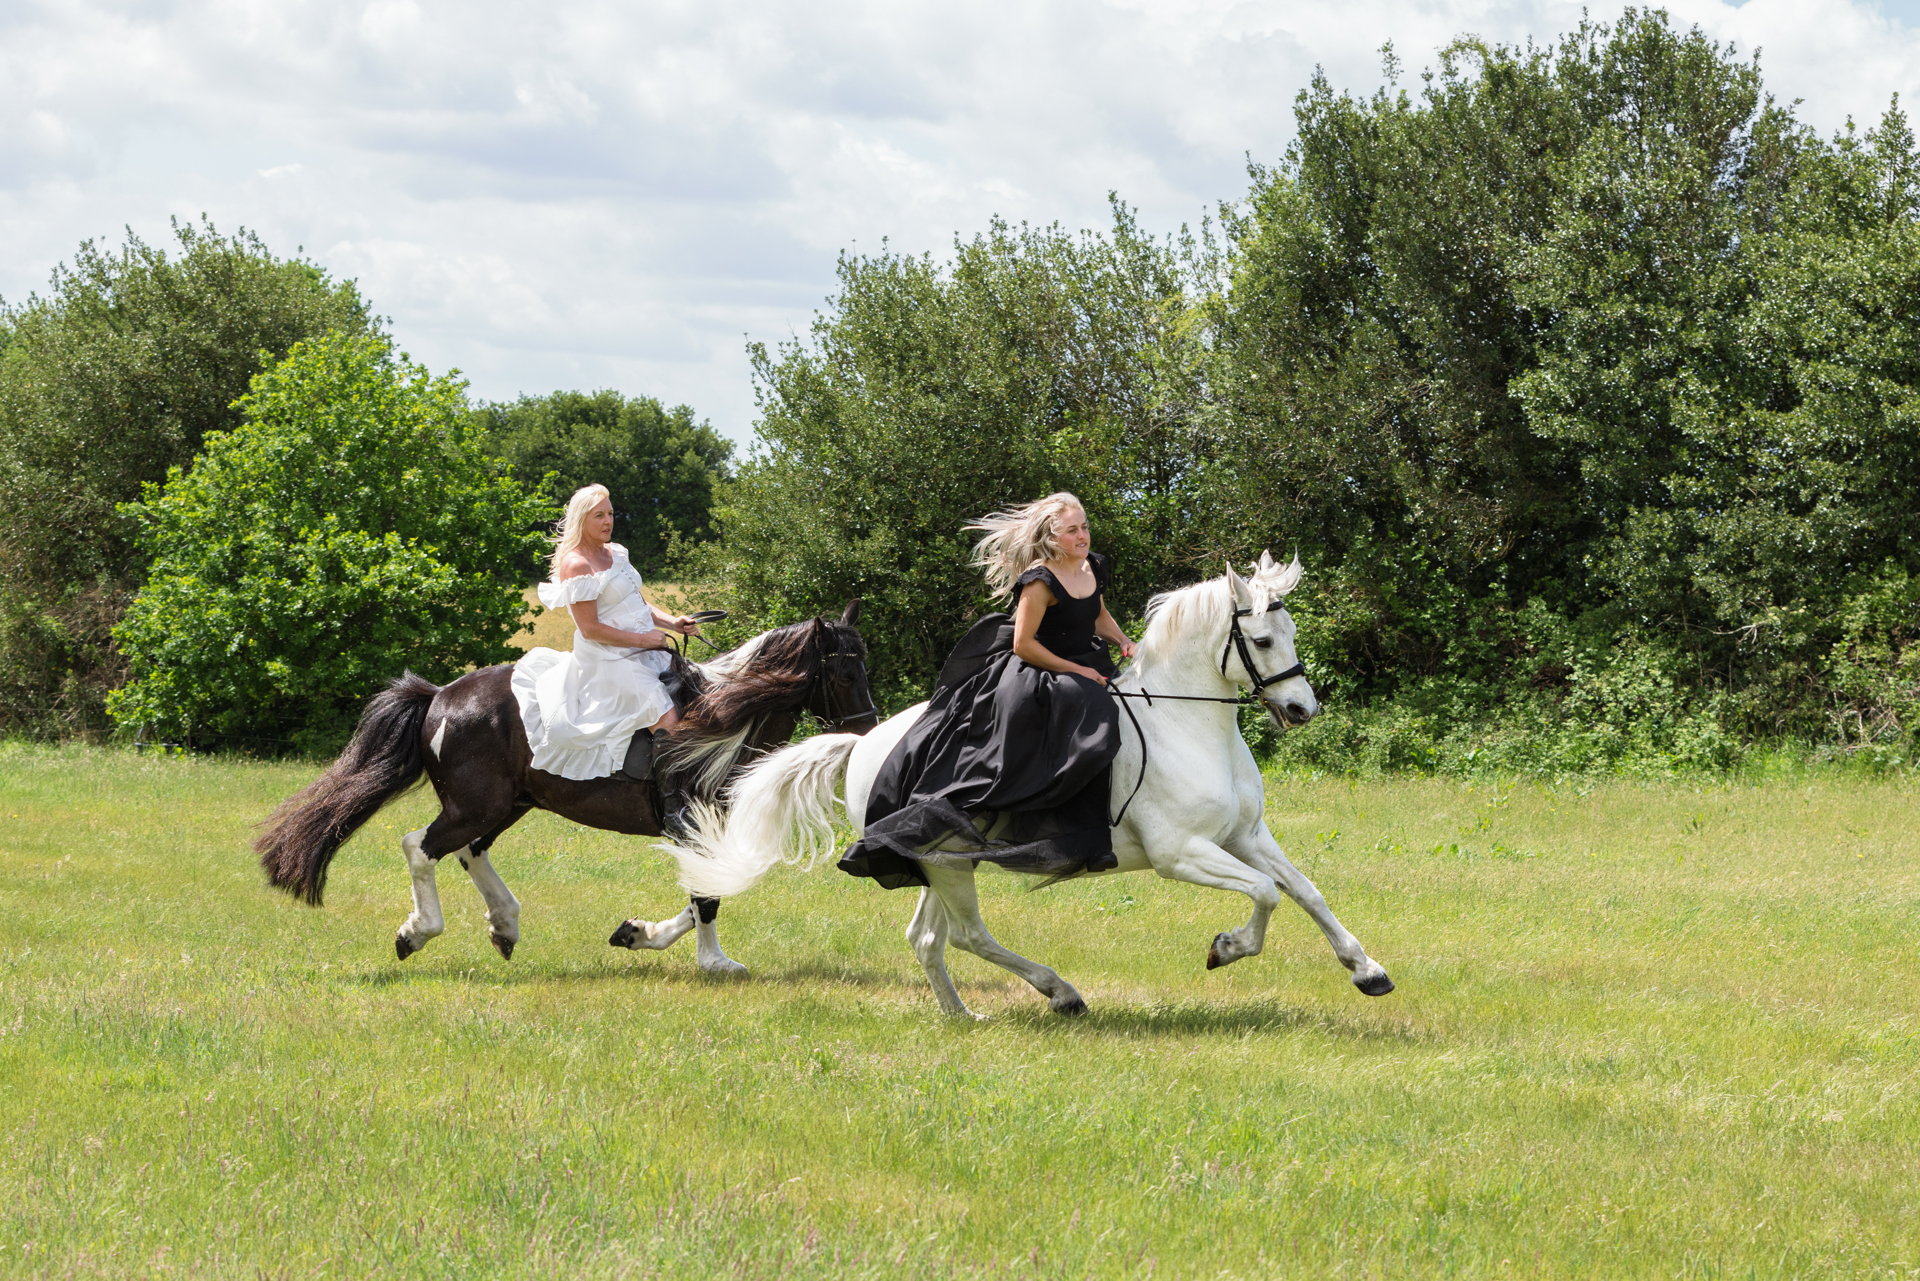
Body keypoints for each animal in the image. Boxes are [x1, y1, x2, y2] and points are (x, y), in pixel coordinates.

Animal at [254, 602, 879, 972]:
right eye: (846, 672)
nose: (869, 732)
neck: (722, 719)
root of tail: (438, 698)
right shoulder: (689, 821)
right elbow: (708, 894)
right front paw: (714, 963)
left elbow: (707, 889)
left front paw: (637, 933)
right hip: (476, 805)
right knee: (421, 846)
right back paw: (418, 932)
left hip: (507, 805)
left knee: (468, 851)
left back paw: (504, 925)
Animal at [663, 554, 1393, 1018]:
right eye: (1263, 639)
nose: (1302, 709)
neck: (1188, 724)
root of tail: (864, 743)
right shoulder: (1181, 852)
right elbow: (1266, 894)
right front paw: (1227, 948)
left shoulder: (1246, 834)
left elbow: (1305, 889)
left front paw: (1368, 970)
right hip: (946, 862)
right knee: (966, 936)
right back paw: (1059, 993)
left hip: (941, 860)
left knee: (929, 939)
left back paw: (964, 1016)